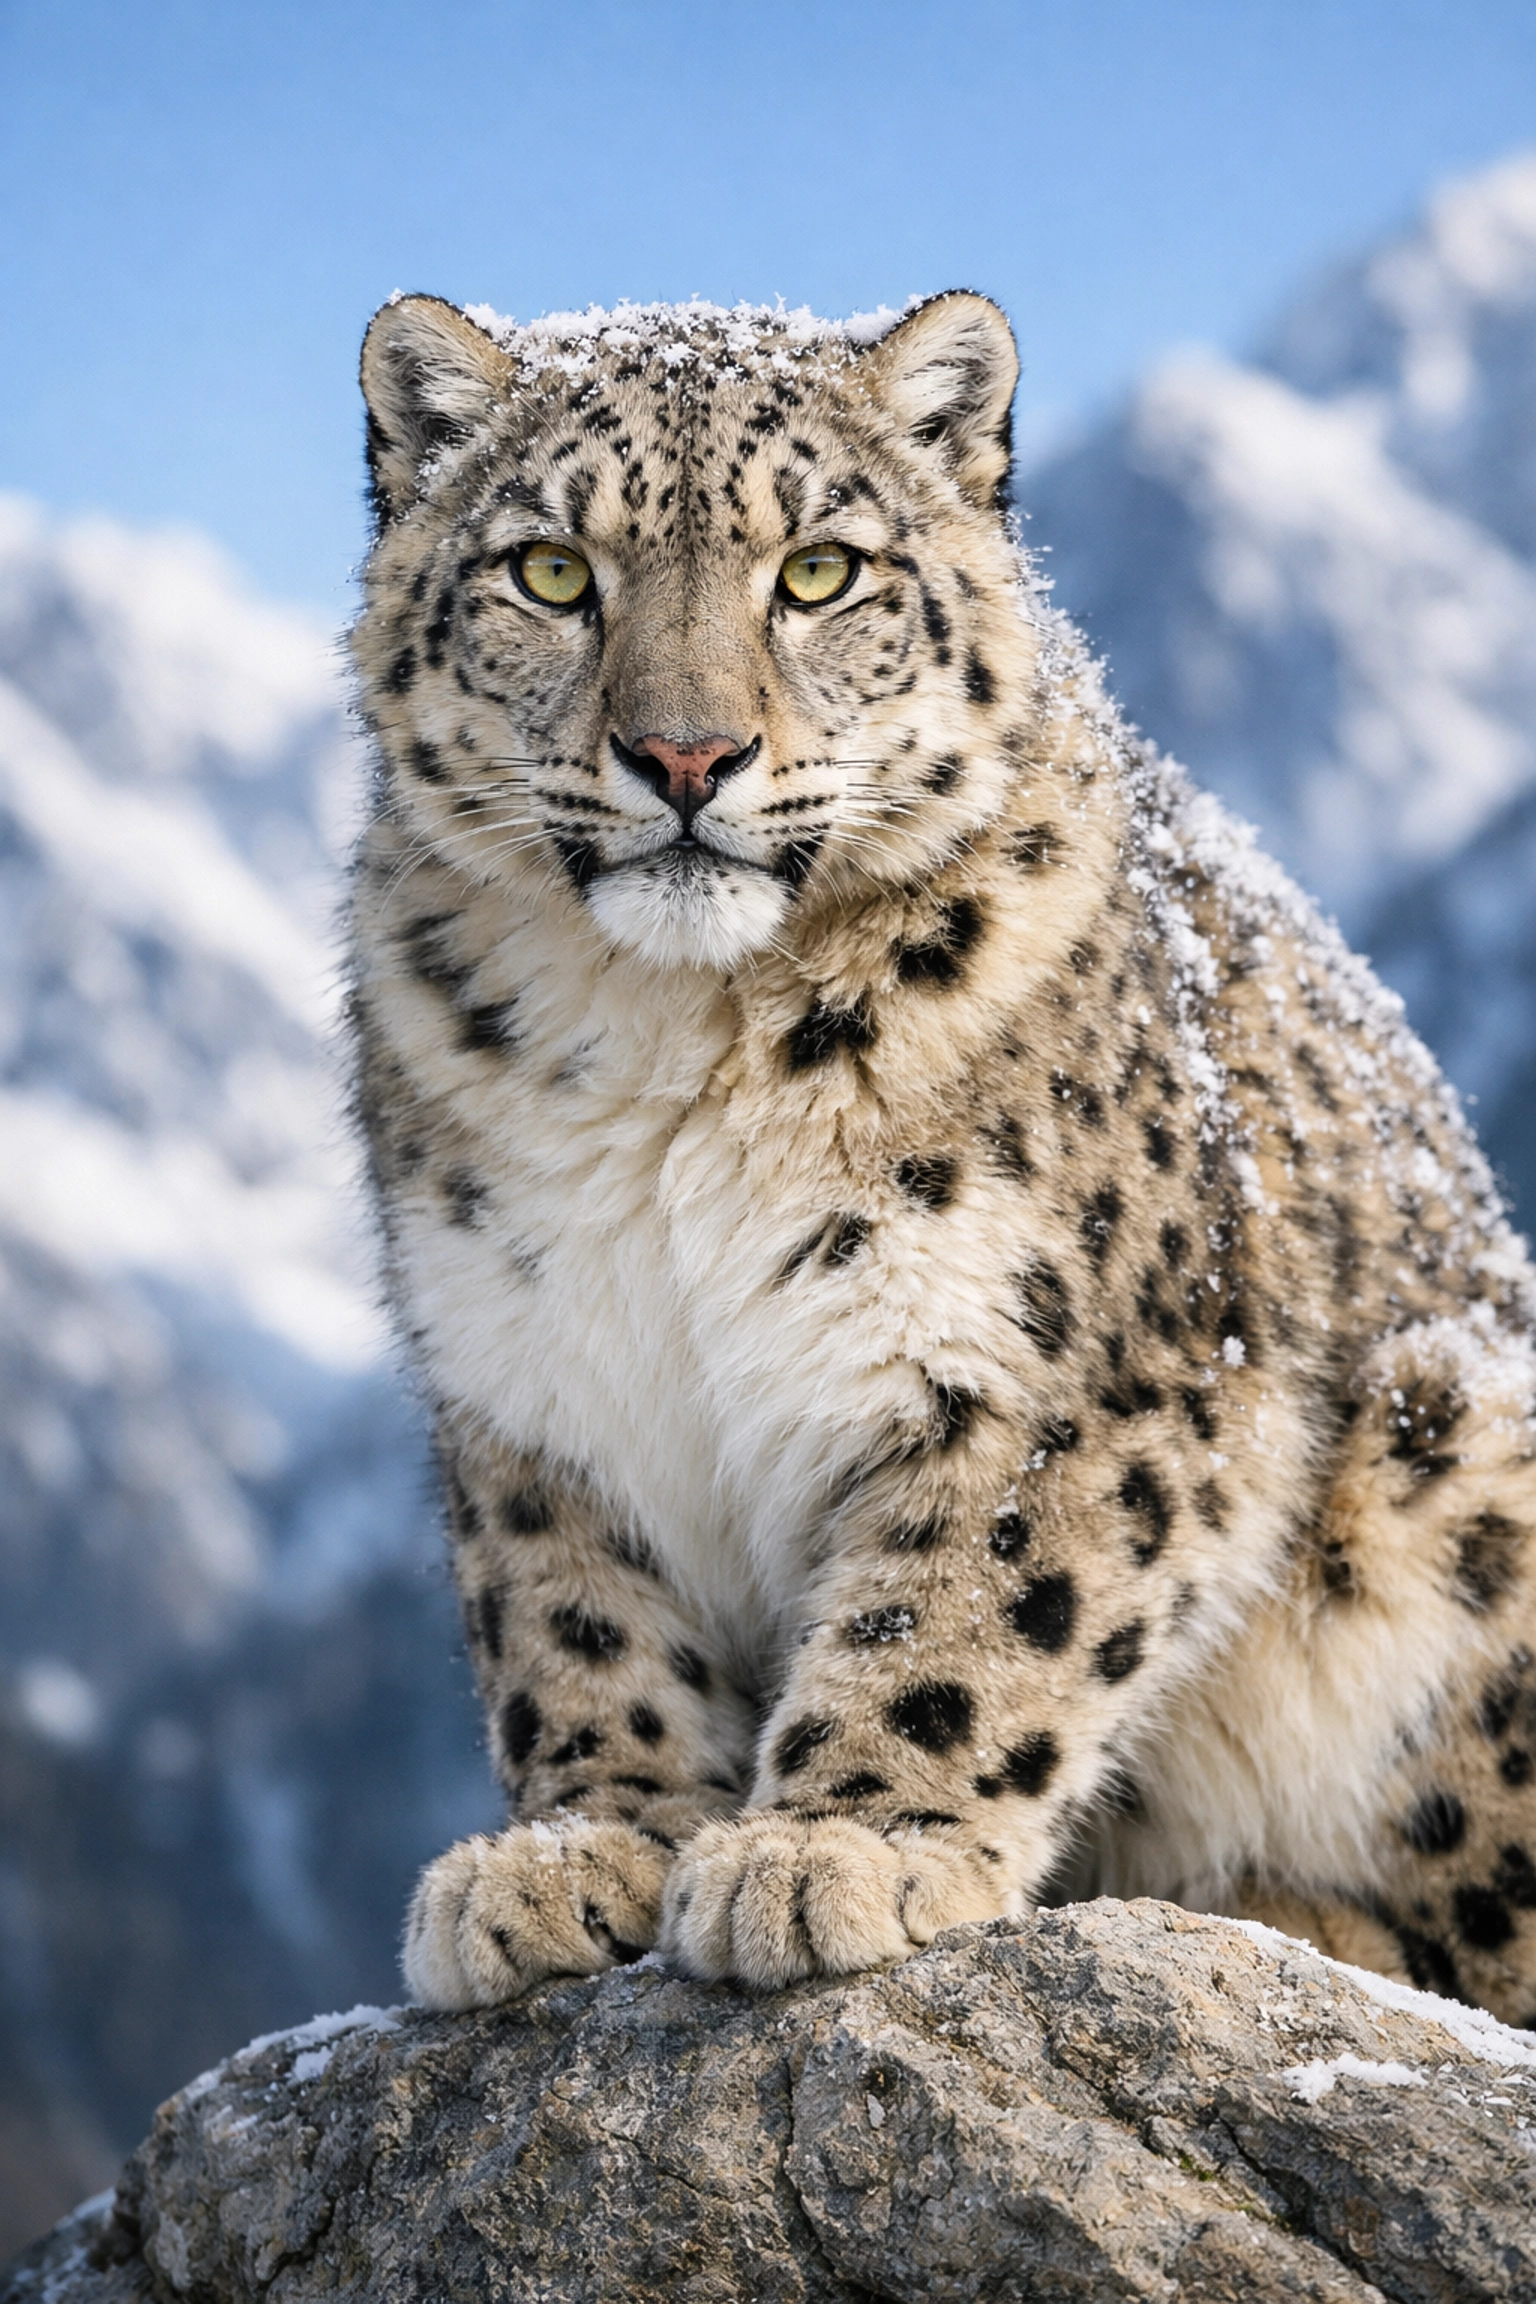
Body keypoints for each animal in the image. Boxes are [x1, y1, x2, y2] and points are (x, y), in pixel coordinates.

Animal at [347, 287, 1536, 2023]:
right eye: (552, 571)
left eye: (819, 570)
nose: (685, 756)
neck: (667, 1051)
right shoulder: (527, 1373)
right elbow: (572, 1620)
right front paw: (578, 1851)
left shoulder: (1061, 1367)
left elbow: (972, 1605)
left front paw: (834, 1847)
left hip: (1460, 1442)